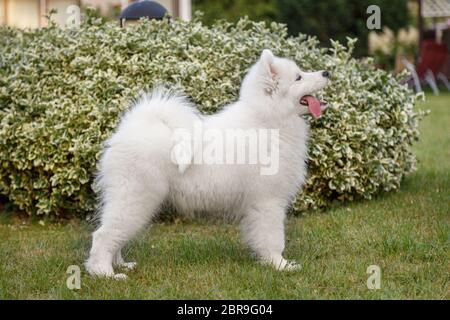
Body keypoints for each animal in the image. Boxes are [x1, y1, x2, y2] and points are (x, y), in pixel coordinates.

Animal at [86, 48, 328, 278]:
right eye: (298, 77)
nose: (326, 73)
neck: (268, 122)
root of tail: (132, 127)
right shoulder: (268, 202)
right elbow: (274, 239)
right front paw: (280, 265)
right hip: (135, 198)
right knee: (103, 235)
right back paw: (105, 273)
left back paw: (121, 265)